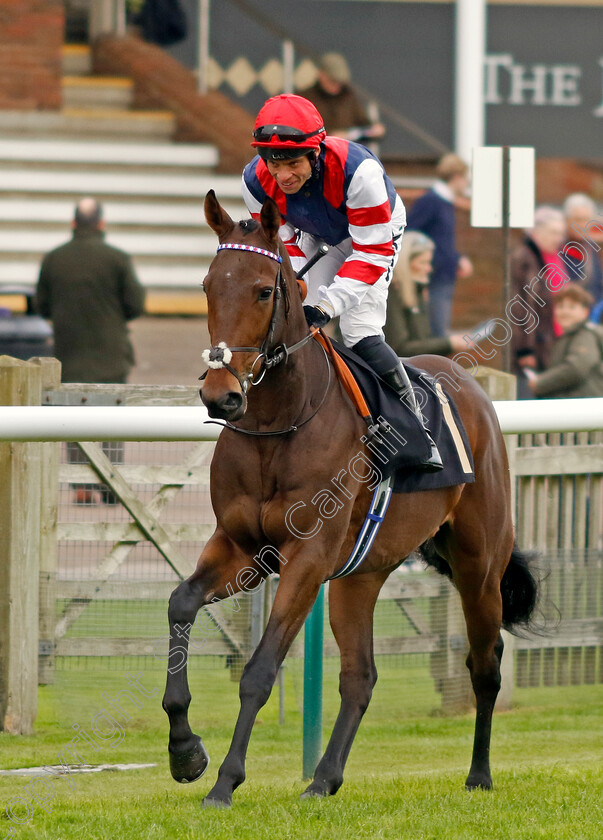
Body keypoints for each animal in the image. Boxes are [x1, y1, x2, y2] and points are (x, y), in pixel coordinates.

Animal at [162, 190, 536, 808]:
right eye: (209, 286)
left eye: (263, 290)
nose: (222, 395)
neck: (279, 425)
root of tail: (474, 385)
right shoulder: (241, 546)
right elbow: (180, 604)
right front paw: (185, 751)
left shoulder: (307, 558)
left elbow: (260, 669)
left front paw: (225, 781)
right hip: (361, 574)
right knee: (360, 676)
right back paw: (323, 778)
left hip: (480, 564)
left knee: (485, 665)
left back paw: (479, 775)